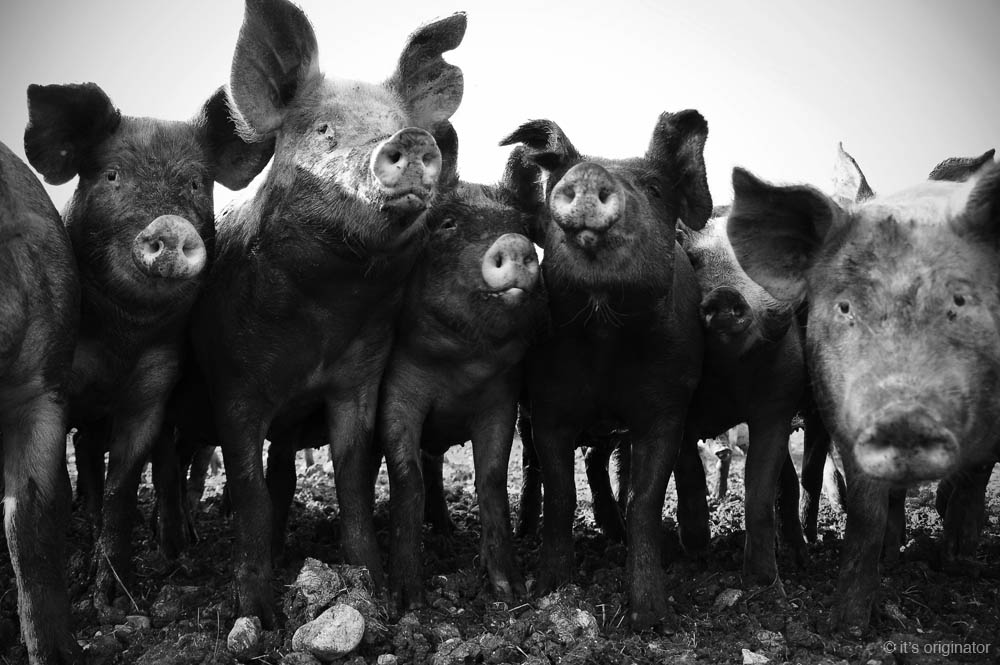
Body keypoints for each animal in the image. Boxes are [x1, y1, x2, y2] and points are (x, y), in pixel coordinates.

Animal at [24, 81, 272, 620]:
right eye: (113, 175)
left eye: (197, 183)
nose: (172, 226)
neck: (125, 333)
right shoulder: (57, 386)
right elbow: (63, 481)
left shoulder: (153, 386)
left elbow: (124, 483)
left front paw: (118, 601)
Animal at [188, 0, 465, 626]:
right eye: (323, 131)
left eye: (393, 120)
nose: (412, 136)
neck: (322, 317)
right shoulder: (231, 383)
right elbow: (250, 492)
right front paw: (259, 620)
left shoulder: (359, 376)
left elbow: (354, 478)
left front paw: (375, 595)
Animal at [379, 182, 548, 608]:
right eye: (448, 224)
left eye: (523, 226)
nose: (514, 242)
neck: (462, 365)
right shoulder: (395, 392)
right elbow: (407, 475)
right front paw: (408, 602)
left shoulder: (502, 400)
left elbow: (492, 476)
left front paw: (510, 592)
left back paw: (446, 531)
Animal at [499, 111, 712, 629]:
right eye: (559, 177)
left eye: (654, 189)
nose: (590, 173)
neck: (605, 333)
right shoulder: (549, 405)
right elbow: (559, 491)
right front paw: (551, 590)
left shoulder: (666, 410)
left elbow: (644, 500)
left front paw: (651, 620)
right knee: (533, 467)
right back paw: (525, 530)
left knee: (599, 466)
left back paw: (613, 535)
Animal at [726, 157, 1000, 631]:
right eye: (845, 307)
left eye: (959, 301)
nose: (902, 415)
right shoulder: (840, 414)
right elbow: (865, 512)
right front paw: (847, 626)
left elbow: (972, 482)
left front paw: (959, 564)